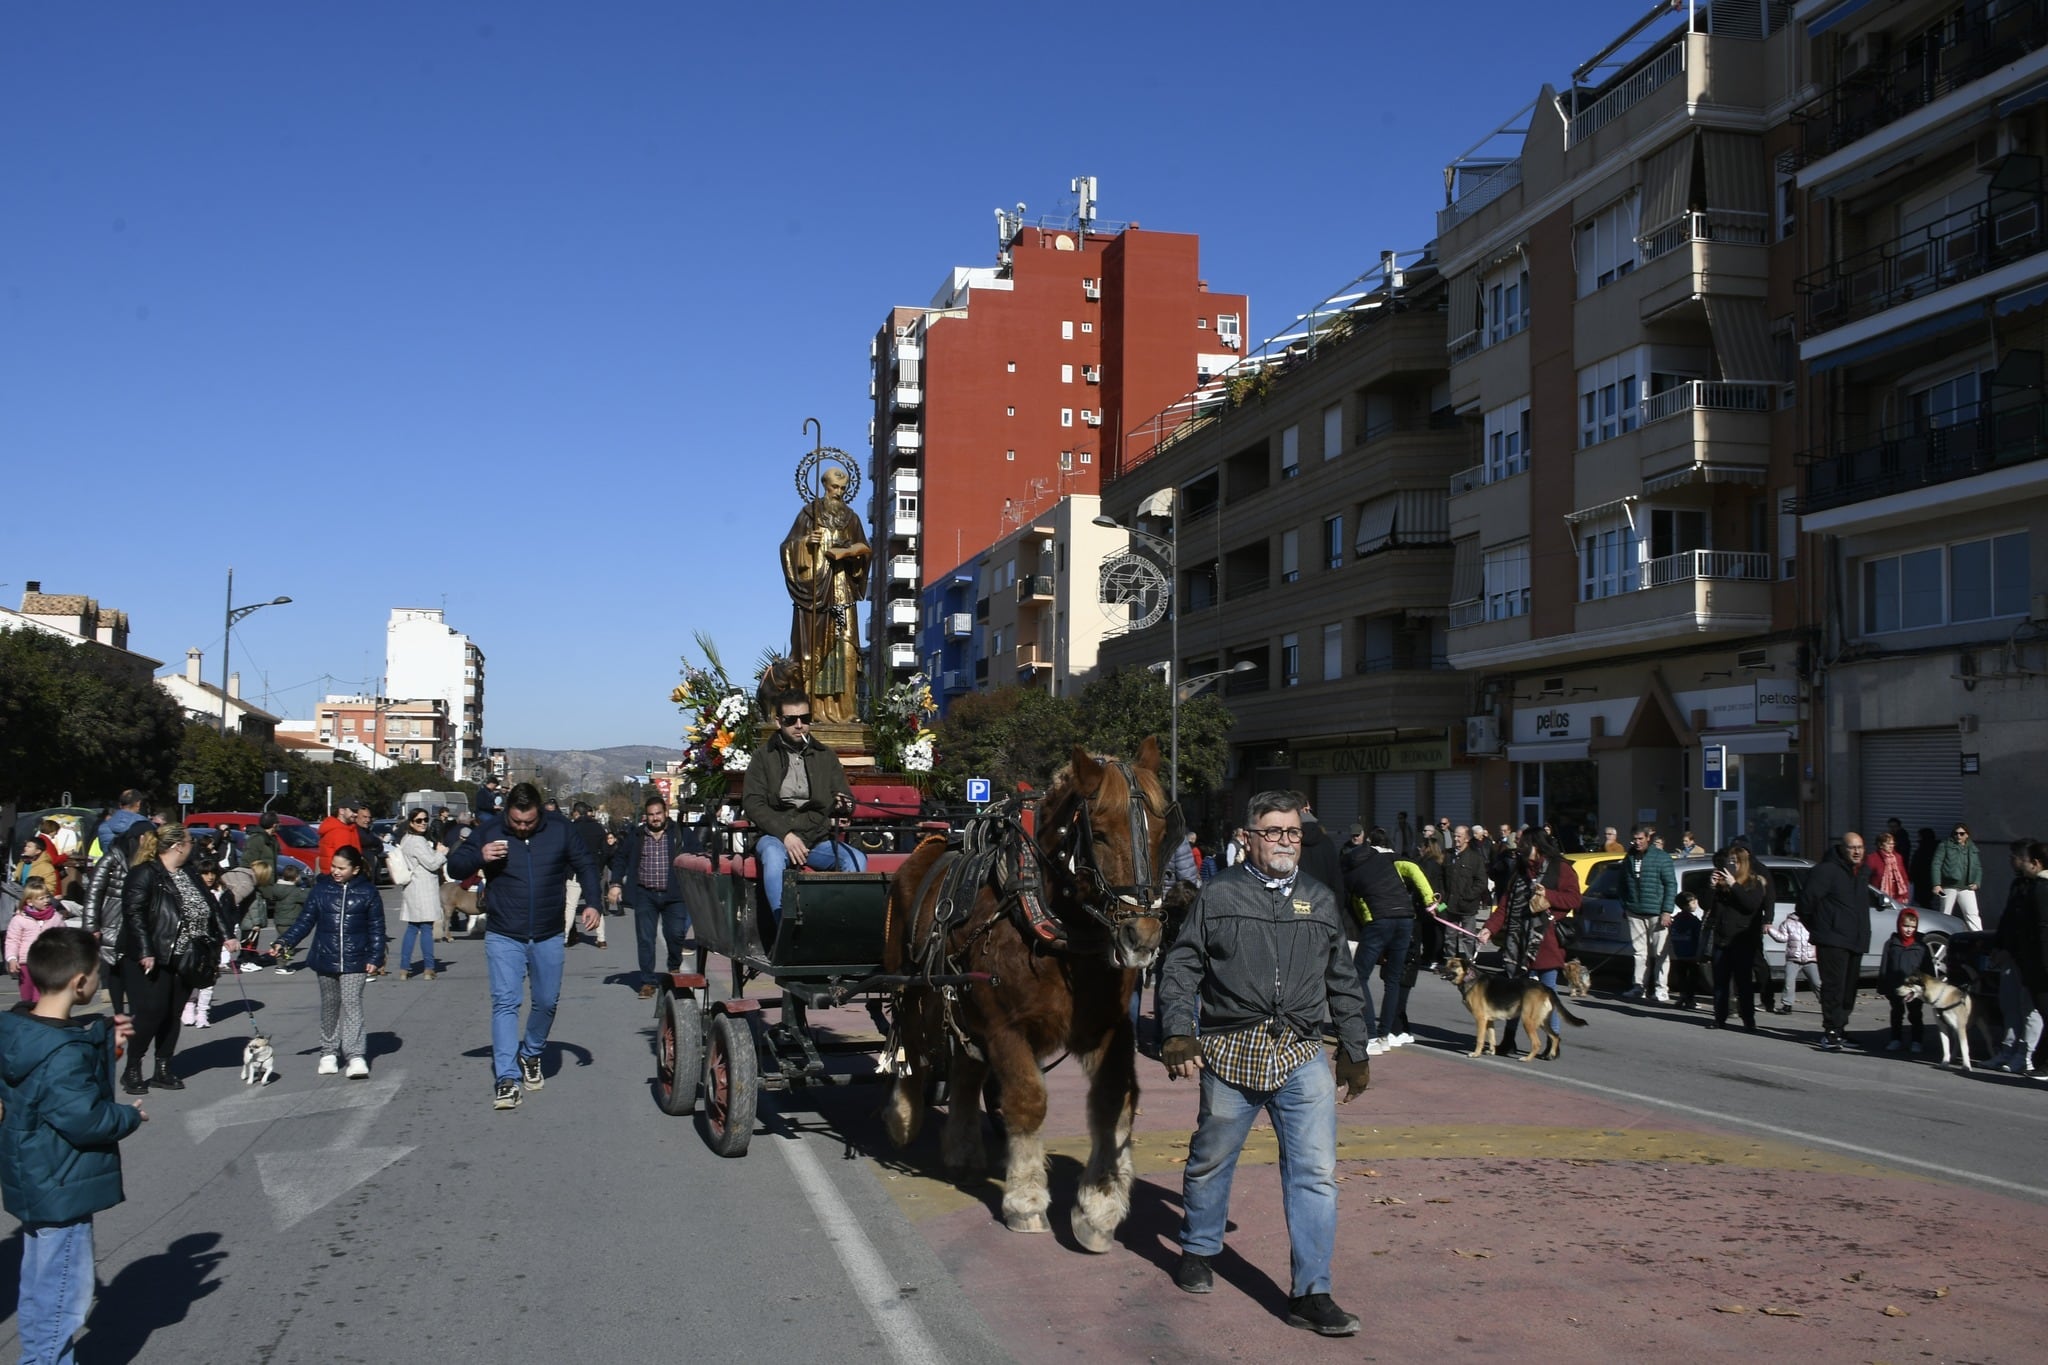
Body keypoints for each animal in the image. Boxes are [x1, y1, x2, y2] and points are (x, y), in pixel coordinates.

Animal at [876, 740, 1171, 1252]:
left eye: (1162, 832)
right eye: (1101, 834)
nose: (1144, 935)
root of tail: (923, 850)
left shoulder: (1109, 1028)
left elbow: (1114, 1101)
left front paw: (1098, 1208)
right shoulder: (1005, 1027)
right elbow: (1027, 1101)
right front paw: (1026, 1200)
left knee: (966, 1072)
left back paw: (962, 1152)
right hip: (913, 990)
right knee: (912, 1048)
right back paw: (903, 1119)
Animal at [1441, 957, 1581, 1064]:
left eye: (1454, 965)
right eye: (1447, 963)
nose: (1439, 968)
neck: (1470, 978)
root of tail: (1545, 988)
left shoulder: (1480, 1019)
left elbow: (1480, 1039)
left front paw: (1476, 1054)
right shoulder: (1488, 1020)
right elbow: (1492, 1037)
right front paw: (1492, 1051)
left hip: (1528, 1021)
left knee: (1537, 1043)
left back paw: (1527, 1059)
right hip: (1542, 1021)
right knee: (1555, 1037)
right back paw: (1551, 1055)